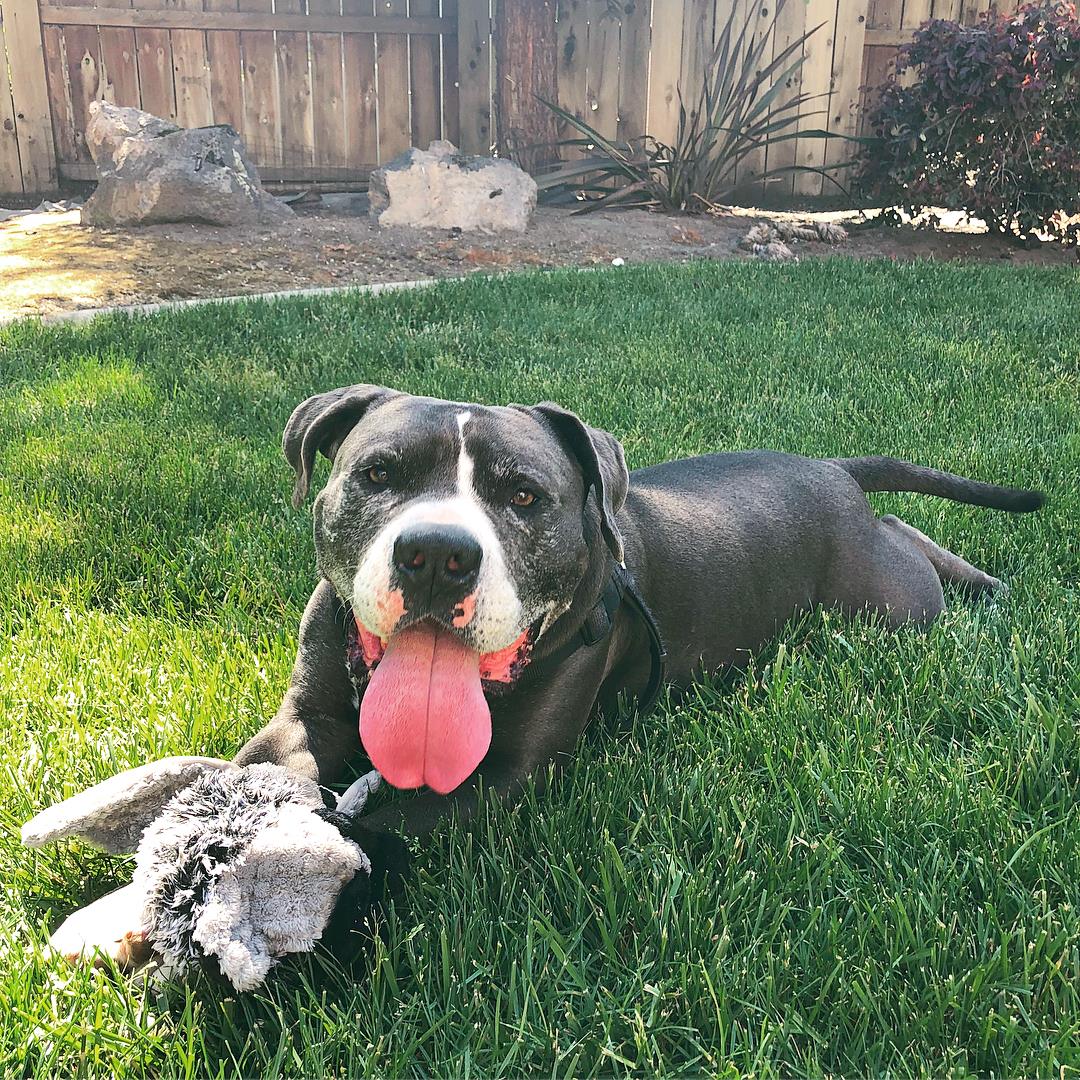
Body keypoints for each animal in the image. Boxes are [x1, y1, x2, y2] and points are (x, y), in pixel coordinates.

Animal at [232, 384, 1041, 838]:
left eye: (524, 495)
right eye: (378, 475)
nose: (436, 553)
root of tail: (830, 468)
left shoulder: (503, 777)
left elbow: (388, 830)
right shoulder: (306, 716)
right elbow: (257, 770)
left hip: (886, 605)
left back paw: (985, 587)